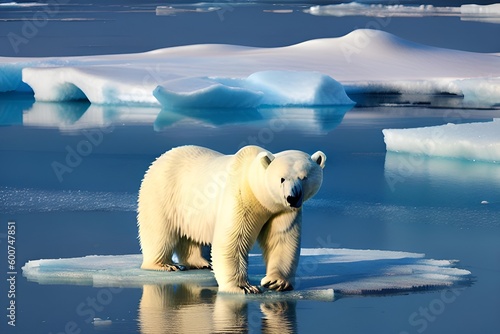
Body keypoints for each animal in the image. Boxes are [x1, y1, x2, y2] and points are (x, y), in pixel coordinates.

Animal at [137, 145, 326, 294]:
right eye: (282, 178)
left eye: (304, 177)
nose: (292, 197)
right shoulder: (240, 196)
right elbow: (233, 239)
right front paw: (245, 287)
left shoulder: (281, 211)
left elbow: (282, 239)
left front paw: (276, 282)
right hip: (162, 193)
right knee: (159, 232)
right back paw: (166, 265)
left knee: (192, 235)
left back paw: (201, 263)